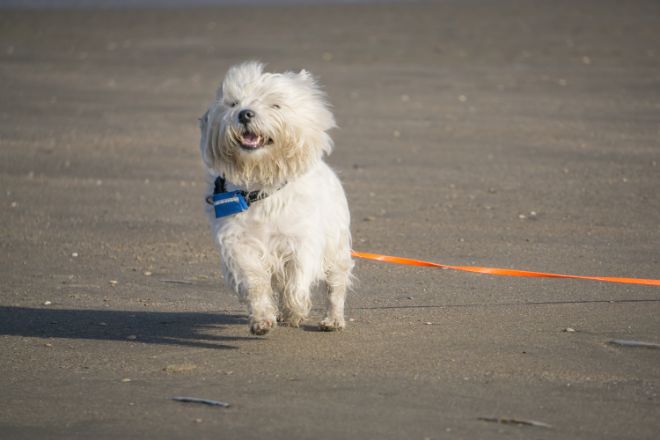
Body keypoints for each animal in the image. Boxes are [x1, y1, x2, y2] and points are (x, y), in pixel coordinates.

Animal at [200, 62, 356, 336]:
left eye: (275, 105)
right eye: (233, 103)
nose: (245, 114)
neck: (261, 188)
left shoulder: (301, 240)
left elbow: (298, 279)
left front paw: (295, 310)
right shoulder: (239, 242)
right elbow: (254, 281)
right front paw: (262, 319)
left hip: (335, 244)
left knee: (335, 284)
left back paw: (332, 320)